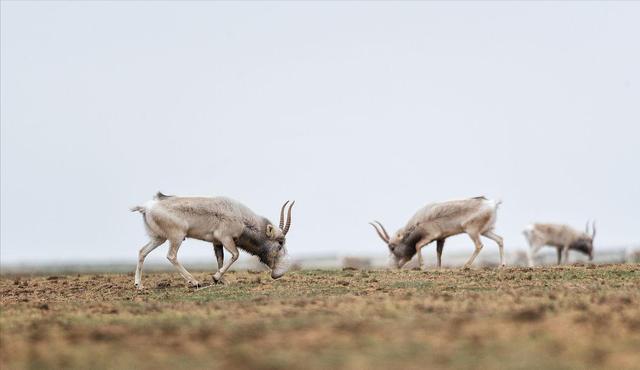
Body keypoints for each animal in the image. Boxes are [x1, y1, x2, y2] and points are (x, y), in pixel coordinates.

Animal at [131, 192, 296, 290]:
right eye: (280, 242)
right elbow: (235, 255)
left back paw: (139, 285)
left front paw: (221, 280)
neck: (241, 217)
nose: (278, 274)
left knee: (142, 252)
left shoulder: (217, 243)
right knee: (171, 256)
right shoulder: (226, 238)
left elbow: (220, 259)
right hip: (176, 237)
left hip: (159, 238)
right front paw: (215, 277)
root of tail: (147, 207)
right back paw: (194, 282)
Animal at [370, 197, 504, 268]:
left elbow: (417, 245)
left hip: (472, 231)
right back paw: (501, 265)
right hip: (486, 231)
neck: (418, 223)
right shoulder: (441, 238)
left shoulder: (430, 236)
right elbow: (439, 252)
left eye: (392, 247)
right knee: (500, 239)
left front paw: (422, 266)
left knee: (479, 245)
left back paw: (465, 266)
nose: (390, 266)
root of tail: (492, 204)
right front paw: (438, 268)